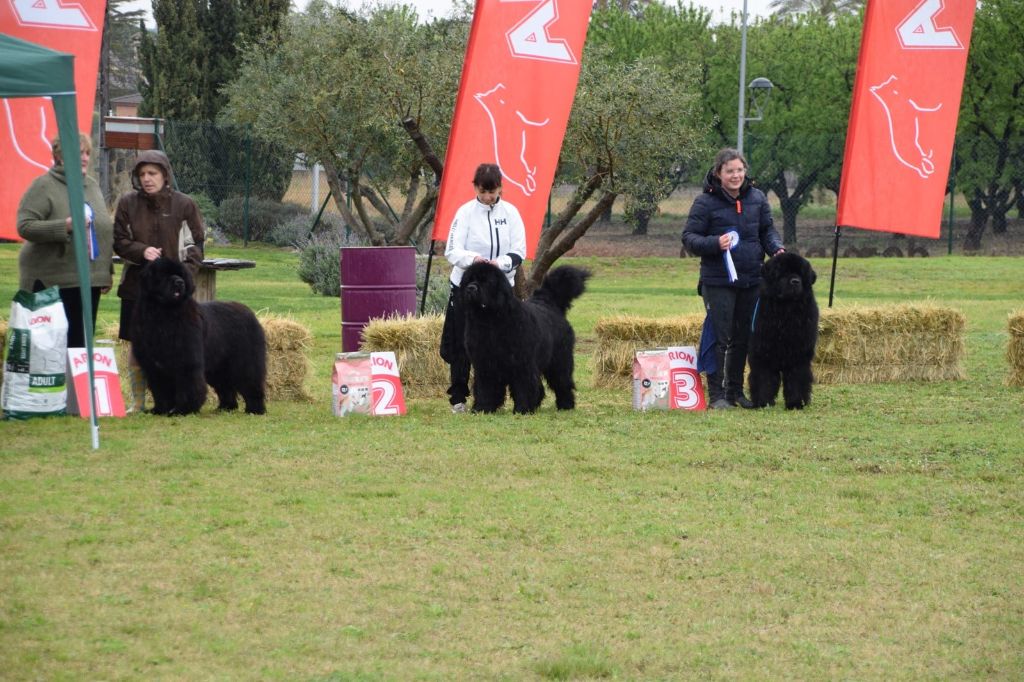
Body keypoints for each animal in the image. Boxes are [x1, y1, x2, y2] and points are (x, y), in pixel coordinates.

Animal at [131, 254, 268, 413]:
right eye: (164, 275)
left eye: (181, 274)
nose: (179, 282)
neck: (164, 314)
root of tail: (250, 312)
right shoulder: (153, 364)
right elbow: (160, 389)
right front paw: (161, 410)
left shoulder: (186, 359)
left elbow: (188, 384)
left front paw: (183, 409)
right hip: (218, 365)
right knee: (225, 385)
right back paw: (226, 407)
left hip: (245, 361)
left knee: (251, 381)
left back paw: (255, 409)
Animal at [458, 261, 589, 413]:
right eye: (469, 280)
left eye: (486, 281)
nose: (471, 288)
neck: (490, 320)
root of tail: (549, 303)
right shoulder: (484, 363)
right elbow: (485, 387)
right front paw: (482, 408)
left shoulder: (522, 362)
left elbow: (523, 385)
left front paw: (522, 409)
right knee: (540, 387)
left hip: (559, 361)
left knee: (562, 382)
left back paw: (566, 405)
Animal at [745, 250, 815, 405]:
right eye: (783, 273)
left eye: (800, 273)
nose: (795, 281)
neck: (785, 311)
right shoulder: (762, 350)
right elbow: (764, 377)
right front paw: (763, 401)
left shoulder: (798, 353)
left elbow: (796, 378)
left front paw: (795, 403)